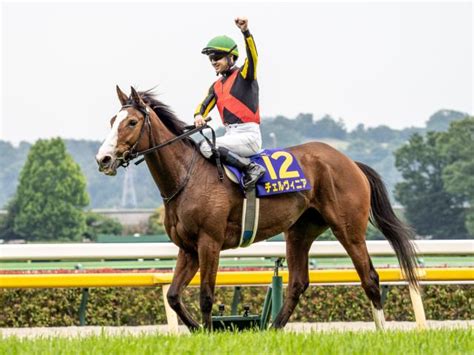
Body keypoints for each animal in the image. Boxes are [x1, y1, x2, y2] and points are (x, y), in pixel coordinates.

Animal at [96, 85, 418, 330]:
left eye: (132, 122)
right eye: (112, 120)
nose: (104, 159)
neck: (187, 176)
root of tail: (351, 162)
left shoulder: (209, 242)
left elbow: (206, 296)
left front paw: (208, 333)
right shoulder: (187, 248)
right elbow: (174, 296)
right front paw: (198, 329)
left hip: (348, 229)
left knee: (370, 278)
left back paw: (381, 331)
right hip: (299, 231)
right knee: (298, 283)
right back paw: (272, 329)